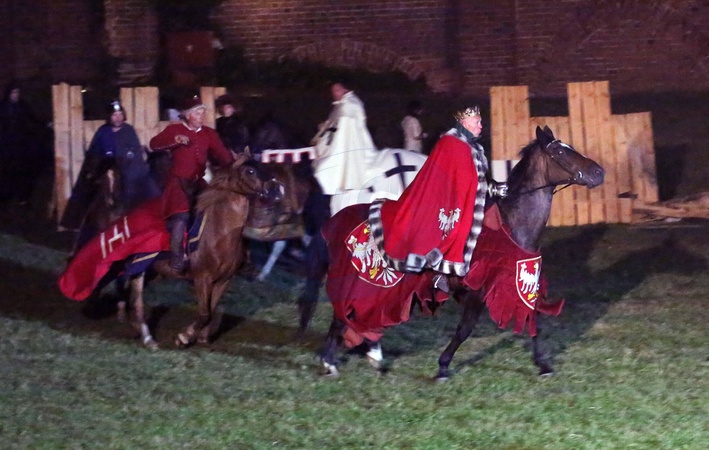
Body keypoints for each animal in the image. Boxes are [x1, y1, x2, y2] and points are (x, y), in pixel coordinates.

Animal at [318, 126, 605, 377]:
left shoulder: (520, 285)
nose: (599, 173)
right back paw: (331, 361)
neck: (511, 226)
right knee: (343, 314)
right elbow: (465, 329)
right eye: (560, 153)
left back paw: (369, 356)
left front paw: (544, 365)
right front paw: (443, 366)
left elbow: (533, 320)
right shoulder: (477, 291)